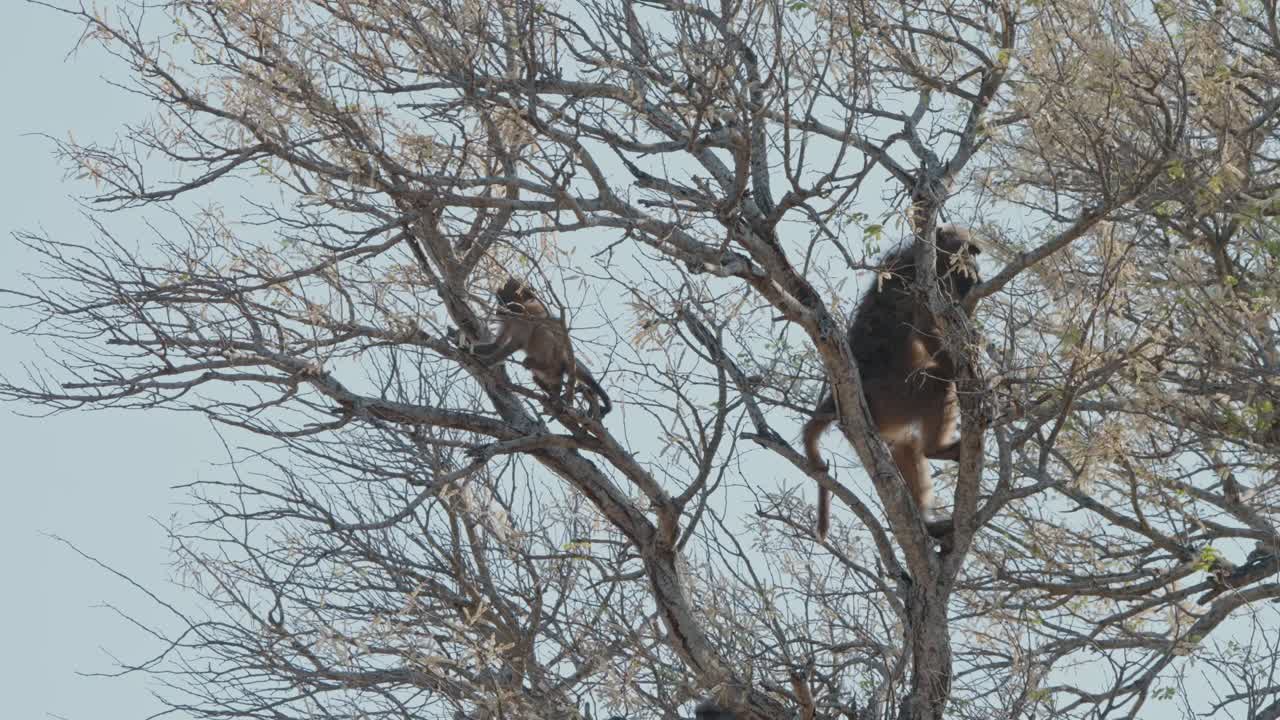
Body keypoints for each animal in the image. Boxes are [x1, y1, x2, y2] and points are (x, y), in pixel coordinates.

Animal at [466, 278, 612, 419]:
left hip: (556, 359)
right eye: (499, 301)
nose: (498, 310)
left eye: (503, 302)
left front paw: (488, 361)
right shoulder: (508, 320)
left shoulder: (523, 318)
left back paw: (544, 367)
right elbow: (497, 344)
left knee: (541, 329)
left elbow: (517, 342)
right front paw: (469, 348)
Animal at [803, 225, 982, 540]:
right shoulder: (920, 285)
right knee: (937, 388)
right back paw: (937, 449)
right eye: (967, 253)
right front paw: (963, 363)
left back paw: (926, 522)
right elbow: (924, 329)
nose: (976, 276)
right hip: (890, 398)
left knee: (906, 447)